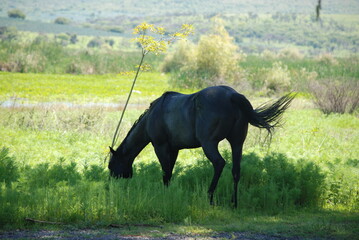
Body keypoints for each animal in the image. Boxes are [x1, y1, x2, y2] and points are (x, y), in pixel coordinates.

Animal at [108, 85, 294, 207]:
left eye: (111, 165)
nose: (111, 183)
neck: (153, 116)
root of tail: (232, 96)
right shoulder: (174, 149)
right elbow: (170, 171)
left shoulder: (160, 147)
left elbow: (166, 173)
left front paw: (165, 195)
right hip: (237, 142)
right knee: (236, 170)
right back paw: (234, 203)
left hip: (209, 144)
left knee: (219, 163)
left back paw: (209, 197)